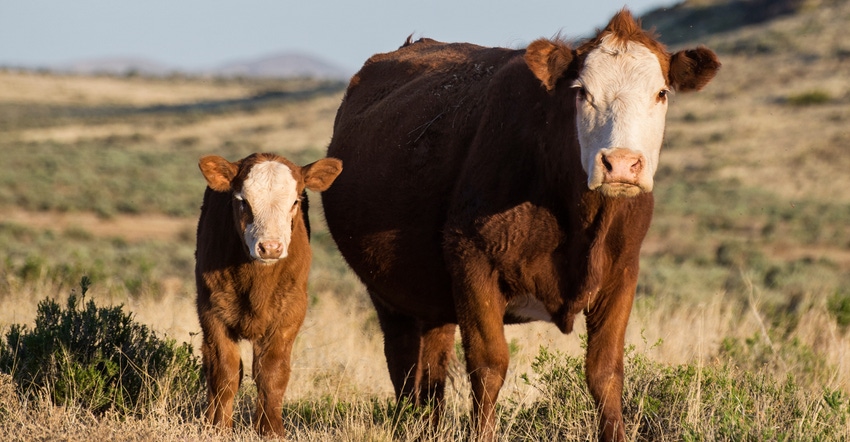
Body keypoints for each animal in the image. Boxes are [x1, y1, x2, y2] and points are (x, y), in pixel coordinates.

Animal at [195, 152, 342, 436]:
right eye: (242, 201)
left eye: (295, 201)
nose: (271, 247)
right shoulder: (212, 310)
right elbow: (225, 371)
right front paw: (219, 427)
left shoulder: (290, 313)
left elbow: (272, 373)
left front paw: (271, 430)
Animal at [322, 7, 720, 442]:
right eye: (581, 92)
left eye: (661, 93)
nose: (620, 164)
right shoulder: (471, 261)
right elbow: (489, 366)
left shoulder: (622, 272)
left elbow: (605, 370)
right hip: (388, 294)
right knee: (405, 365)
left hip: (431, 299)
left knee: (431, 373)